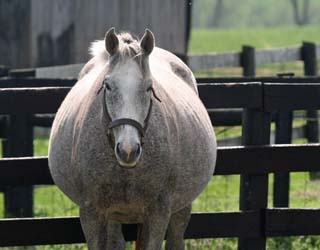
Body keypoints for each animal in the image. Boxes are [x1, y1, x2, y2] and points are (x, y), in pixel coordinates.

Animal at [48, 28, 218, 249]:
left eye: (149, 87)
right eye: (107, 85)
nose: (128, 150)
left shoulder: (158, 213)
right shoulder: (91, 213)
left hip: (181, 208)